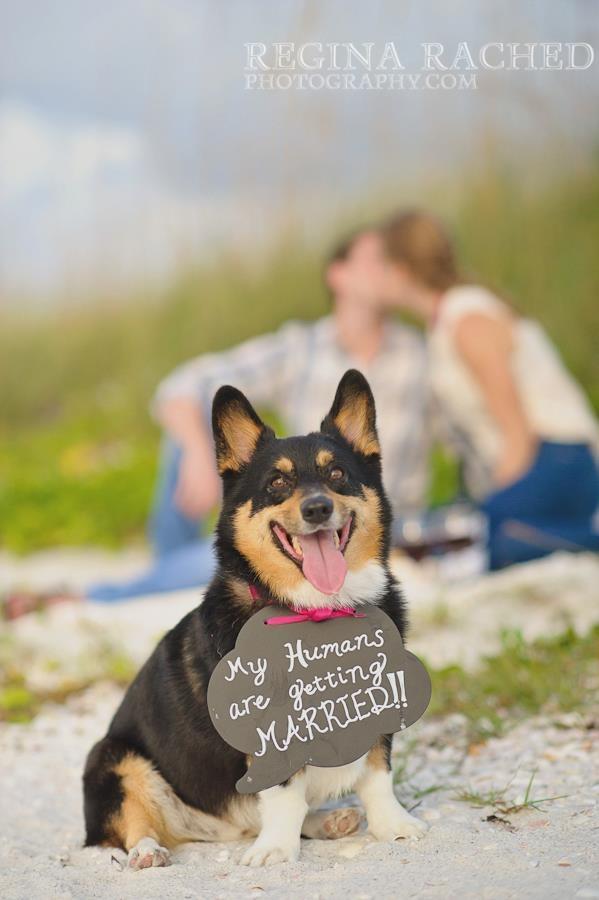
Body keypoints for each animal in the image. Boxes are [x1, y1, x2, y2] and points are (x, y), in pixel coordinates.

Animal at [83, 370, 426, 868]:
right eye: (277, 482)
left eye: (337, 474)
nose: (318, 508)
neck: (317, 608)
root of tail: (215, 827)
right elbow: (283, 792)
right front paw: (276, 851)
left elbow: (377, 774)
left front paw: (394, 826)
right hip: (111, 758)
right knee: (134, 824)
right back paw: (148, 852)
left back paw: (327, 822)